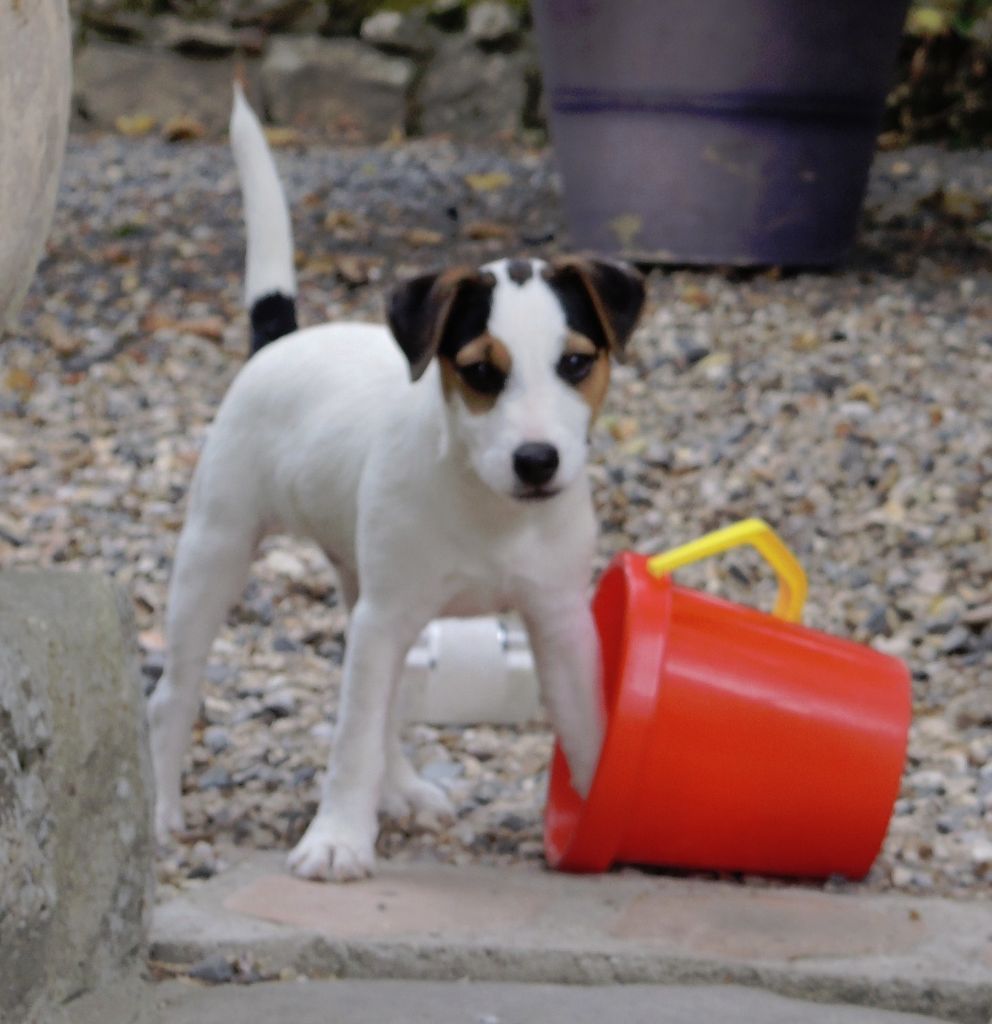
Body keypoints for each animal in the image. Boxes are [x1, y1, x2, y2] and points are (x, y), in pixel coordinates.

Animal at [146, 85, 646, 882]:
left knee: (378, 708)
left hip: (365, 592)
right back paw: (164, 811)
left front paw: (605, 810)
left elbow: (587, 725)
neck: (488, 503)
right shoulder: (386, 618)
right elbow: (349, 743)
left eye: (575, 363)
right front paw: (337, 840)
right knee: (176, 694)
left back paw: (404, 789)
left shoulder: (559, 621)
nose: (537, 461)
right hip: (217, 554)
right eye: (480, 371)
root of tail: (282, 340)